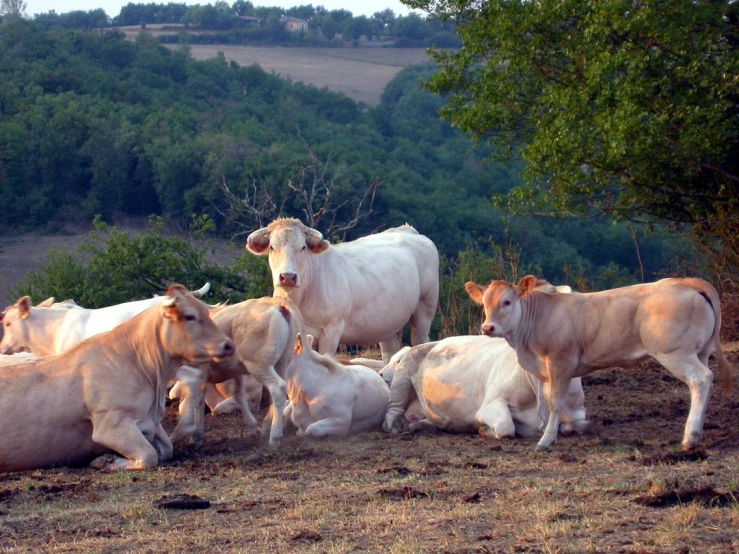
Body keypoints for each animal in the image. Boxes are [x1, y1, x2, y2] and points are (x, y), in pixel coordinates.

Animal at [0, 284, 234, 470]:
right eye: (189, 315)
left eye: (7, 323)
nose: (228, 345)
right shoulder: (110, 426)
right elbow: (151, 454)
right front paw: (107, 461)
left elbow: (159, 451)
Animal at [246, 216, 440, 362]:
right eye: (272, 247)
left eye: (303, 247)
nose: (288, 276)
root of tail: (408, 230)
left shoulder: (331, 332)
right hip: (387, 323)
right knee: (389, 351)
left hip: (425, 309)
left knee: (420, 340)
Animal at [382, 334, 588, 438]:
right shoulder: (491, 402)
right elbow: (506, 427)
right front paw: (483, 429)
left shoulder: (578, 407)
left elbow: (579, 423)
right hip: (404, 372)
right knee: (393, 409)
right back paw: (395, 427)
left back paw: (423, 426)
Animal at [466, 274, 736, 450]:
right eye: (485, 303)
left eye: (507, 302)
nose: (488, 328)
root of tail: (688, 281)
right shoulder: (544, 370)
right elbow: (545, 402)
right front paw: (546, 431)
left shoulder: (560, 363)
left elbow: (555, 402)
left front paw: (546, 440)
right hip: (699, 351)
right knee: (699, 384)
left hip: (675, 352)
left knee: (701, 379)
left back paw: (691, 437)